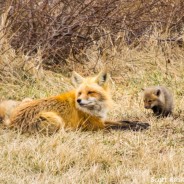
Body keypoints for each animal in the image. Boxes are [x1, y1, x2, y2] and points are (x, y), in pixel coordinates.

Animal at [7, 70, 150, 132]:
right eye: (80, 93)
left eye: (90, 92)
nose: (79, 100)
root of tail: (11, 124)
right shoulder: (96, 126)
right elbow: (121, 126)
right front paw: (138, 127)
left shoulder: (100, 120)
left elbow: (124, 121)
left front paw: (141, 123)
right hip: (56, 120)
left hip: (26, 100)